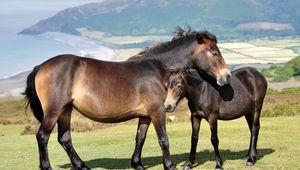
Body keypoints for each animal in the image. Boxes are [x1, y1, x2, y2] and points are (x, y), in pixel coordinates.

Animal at [24, 29, 230, 169]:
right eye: (214, 52)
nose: (226, 76)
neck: (158, 70)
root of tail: (41, 67)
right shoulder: (157, 111)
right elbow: (163, 139)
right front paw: (169, 165)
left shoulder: (145, 115)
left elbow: (140, 138)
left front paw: (137, 163)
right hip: (54, 110)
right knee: (42, 136)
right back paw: (47, 166)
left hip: (65, 110)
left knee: (65, 139)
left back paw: (82, 166)